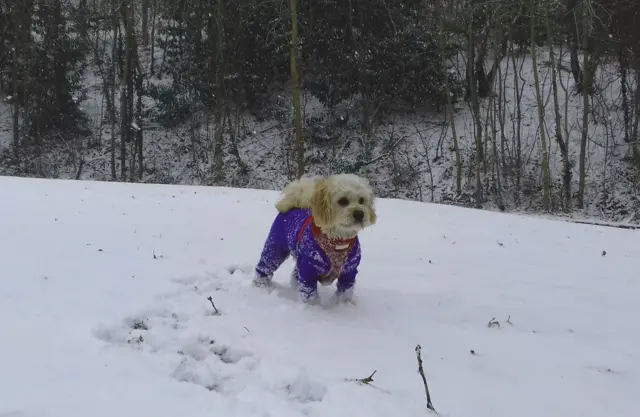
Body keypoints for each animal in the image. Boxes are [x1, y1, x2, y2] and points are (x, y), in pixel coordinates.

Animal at [254, 174, 378, 304]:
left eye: (362, 200)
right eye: (343, 201)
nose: (359, 214)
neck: (336, 241)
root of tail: (295, 203)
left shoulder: (349, 271)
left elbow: (345, 292)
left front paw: (344, 306)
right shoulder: (308, 268)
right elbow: (309, 294)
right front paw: (312, 308)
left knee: (295, 275)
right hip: (276, 246)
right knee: (267, 264)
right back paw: (260, 284)